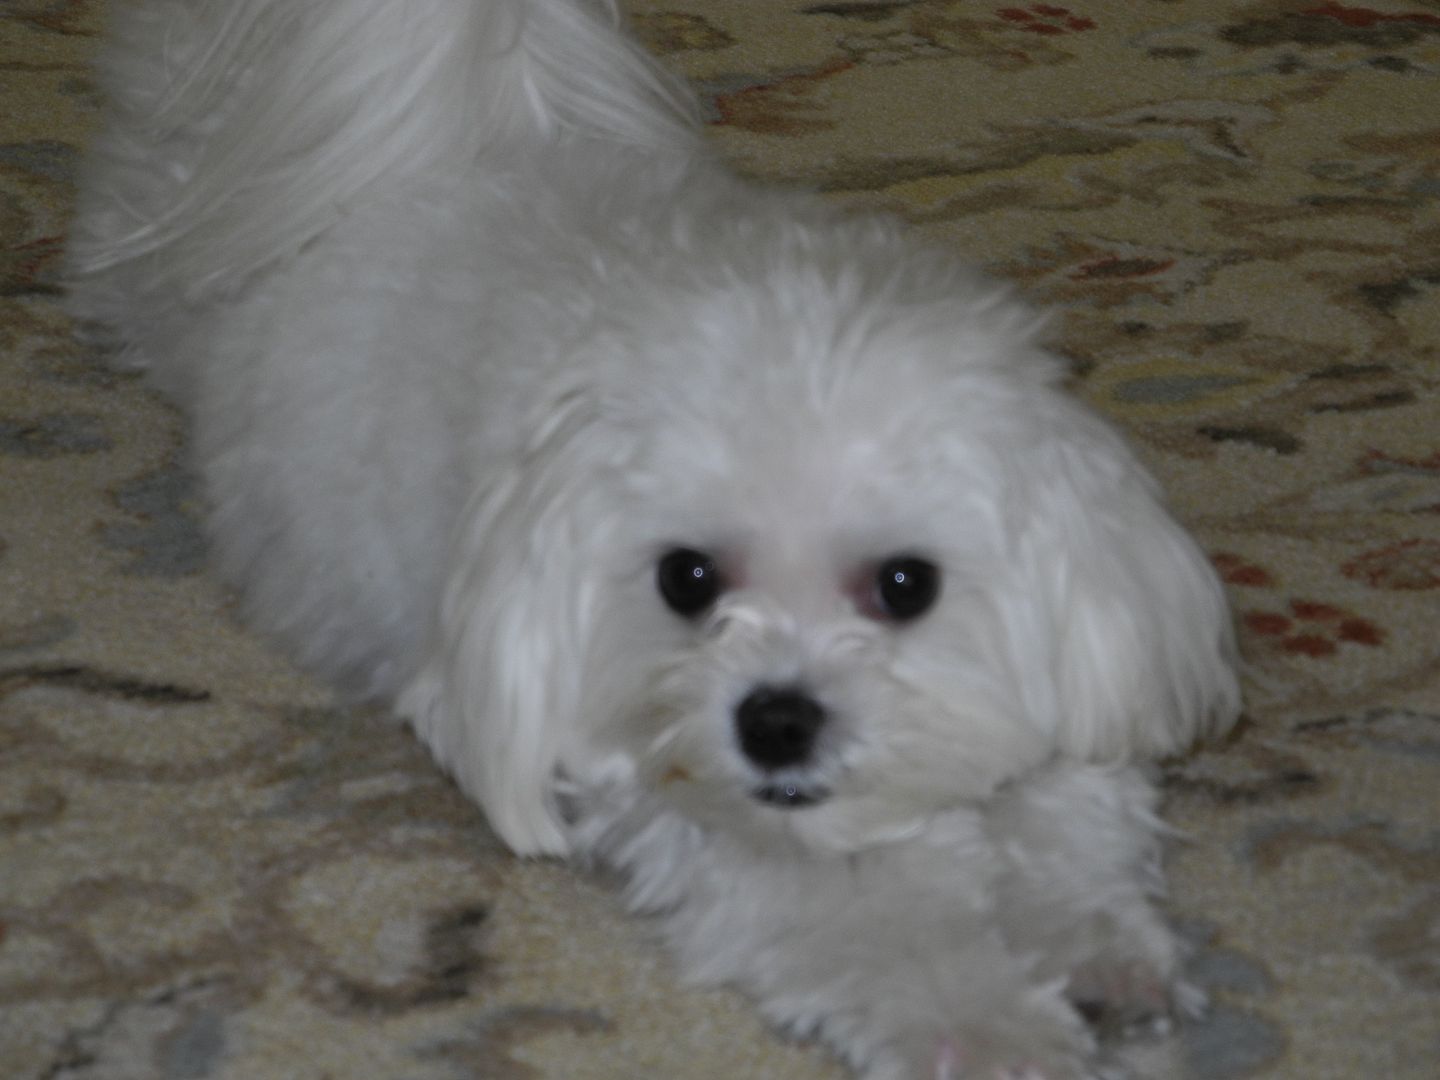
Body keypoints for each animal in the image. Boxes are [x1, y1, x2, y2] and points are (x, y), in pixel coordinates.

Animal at [67, 2, 1238, 1080]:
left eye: (908, 584)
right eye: (687, 578)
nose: (776, 722)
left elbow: (1072, 807)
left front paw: (1097, 948)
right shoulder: (673, 798)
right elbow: (877, 918)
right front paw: (994, 1030)